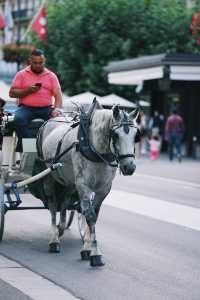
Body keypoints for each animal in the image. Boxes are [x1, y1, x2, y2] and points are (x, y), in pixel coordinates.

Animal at [33, 100, 139, 268]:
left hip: (69, 182)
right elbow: (89, 215)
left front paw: (87, 248)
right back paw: (54, 239)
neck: (96, 149)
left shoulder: (103, 189)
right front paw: (95, 254)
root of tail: (49, 121)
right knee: (53, 205)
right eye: (115, 135)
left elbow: (93, 215)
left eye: (136, 135)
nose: (129, 167)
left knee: (64, 203)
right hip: (50, 176)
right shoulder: (83, 186)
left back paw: (61, 228)